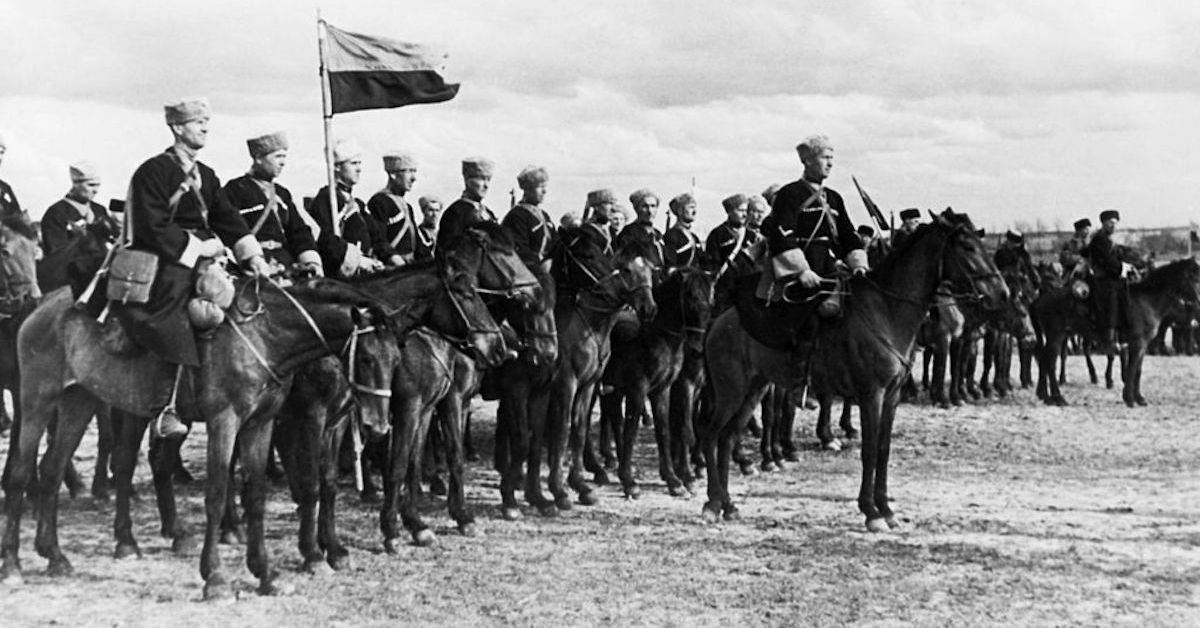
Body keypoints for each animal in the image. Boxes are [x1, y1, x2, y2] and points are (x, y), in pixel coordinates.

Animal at [700, 211, 1008, 530]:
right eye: (968, 247)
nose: (1002, 294)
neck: (887, 310)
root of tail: (719, 319)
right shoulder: (871, 395)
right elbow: (869, 450)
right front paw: (871, 512)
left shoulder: (891, 397)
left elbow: (883, 450)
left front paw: (886, 509)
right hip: (730, 391)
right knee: (710, 436)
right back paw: (712, 504)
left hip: (754, 390)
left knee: (727, 438)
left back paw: (728, 505)